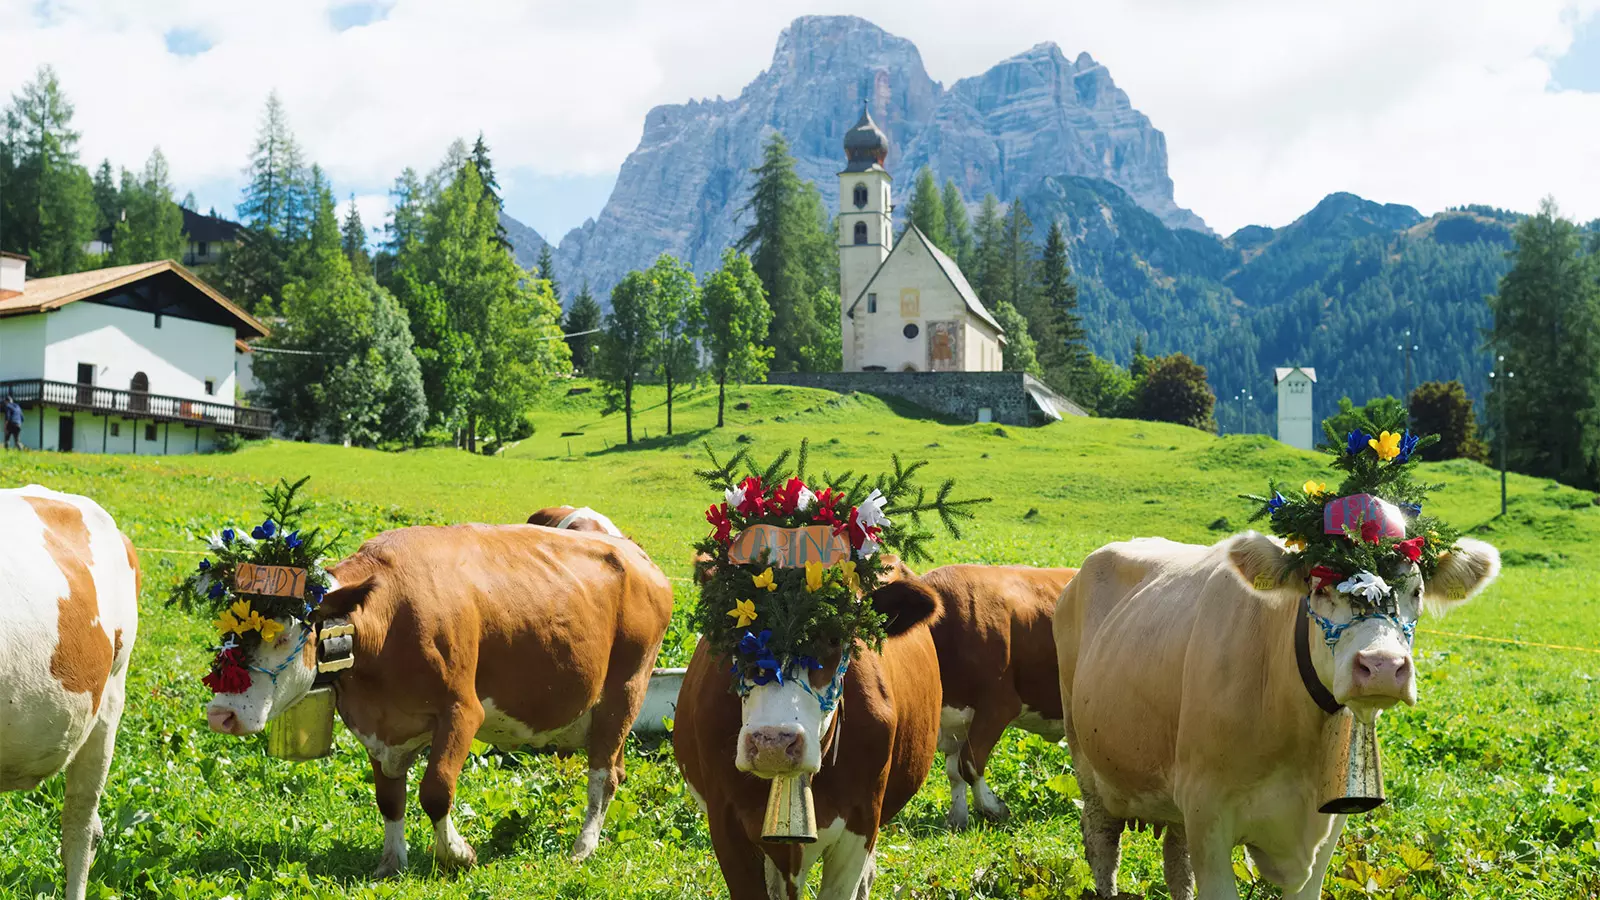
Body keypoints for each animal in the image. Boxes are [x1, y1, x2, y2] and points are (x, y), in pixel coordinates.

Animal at [201, 522, 675, 871]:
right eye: (226, 633)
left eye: (280, 635)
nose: (220, 715)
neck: (385, 619)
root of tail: (635, 553)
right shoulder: (379, 727)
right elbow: (389, 798)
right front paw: (392, 862)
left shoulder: (462, 711)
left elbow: (436, 789)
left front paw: (457, 854)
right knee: (616, 769)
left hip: (626, 688)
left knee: (603, 776)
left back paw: (583, 847)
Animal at [921, 560, 1081, 826]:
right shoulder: (954, 718)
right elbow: (954, 772)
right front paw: (957, 818)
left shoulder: (999, 704)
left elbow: (969, 762)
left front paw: (992, 808)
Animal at [1049, 531, 1497, 896]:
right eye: (1321, 589)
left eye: (1416, 591)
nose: (1383, 666)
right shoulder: (1207, 813)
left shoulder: (1328, 827)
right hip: (1087, 759)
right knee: (1102, 843)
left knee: (1176, 862)